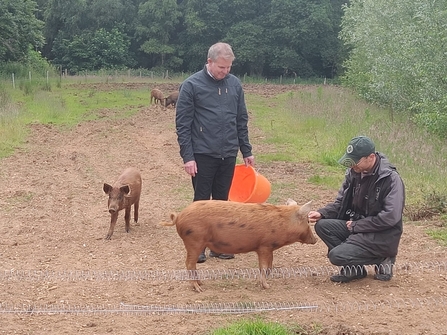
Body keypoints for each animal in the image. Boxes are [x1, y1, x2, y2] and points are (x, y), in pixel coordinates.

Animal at [161, 201, 316, 292]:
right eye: (307, 221)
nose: (315, 240)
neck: (284, 222)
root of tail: (179, 216)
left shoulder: (266, 248)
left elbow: (269, 265)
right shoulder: (264, 246)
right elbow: (264, 266)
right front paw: (267, 286)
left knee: (191, 265)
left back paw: (201, 284)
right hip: (194, 241)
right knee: (189, 264)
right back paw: (198, 289)